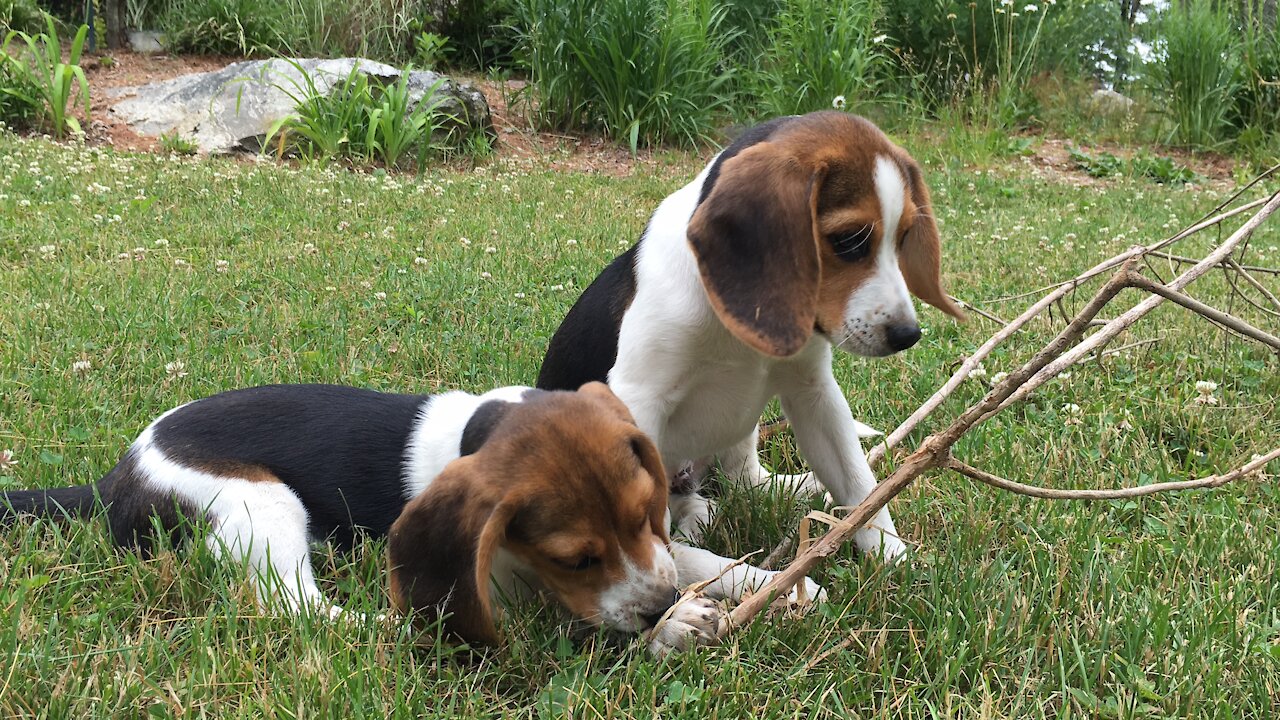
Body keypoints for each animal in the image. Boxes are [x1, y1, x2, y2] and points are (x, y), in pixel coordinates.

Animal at [0, 381, 721, 655]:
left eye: (646, 515)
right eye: (575, 559)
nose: (659, 607)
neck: (478, 427)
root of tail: (116, 475)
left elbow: (687, 558)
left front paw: (722, 584)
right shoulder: (502, 584)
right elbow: (566, 619)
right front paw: (674, 626)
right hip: (264, 501)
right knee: (297, 604)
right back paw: (400, 624)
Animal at [535, 112, 962, 602]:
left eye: (905, 234)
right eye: (849, 240)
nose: (908, 335)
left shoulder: (814, 391)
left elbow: (860, 484)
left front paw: (893, 556)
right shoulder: (640, 399)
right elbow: (650, 544)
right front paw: (758, 582)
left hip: (741, 433)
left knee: (744, 479)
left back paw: (795, 489)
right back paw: (754, 579)